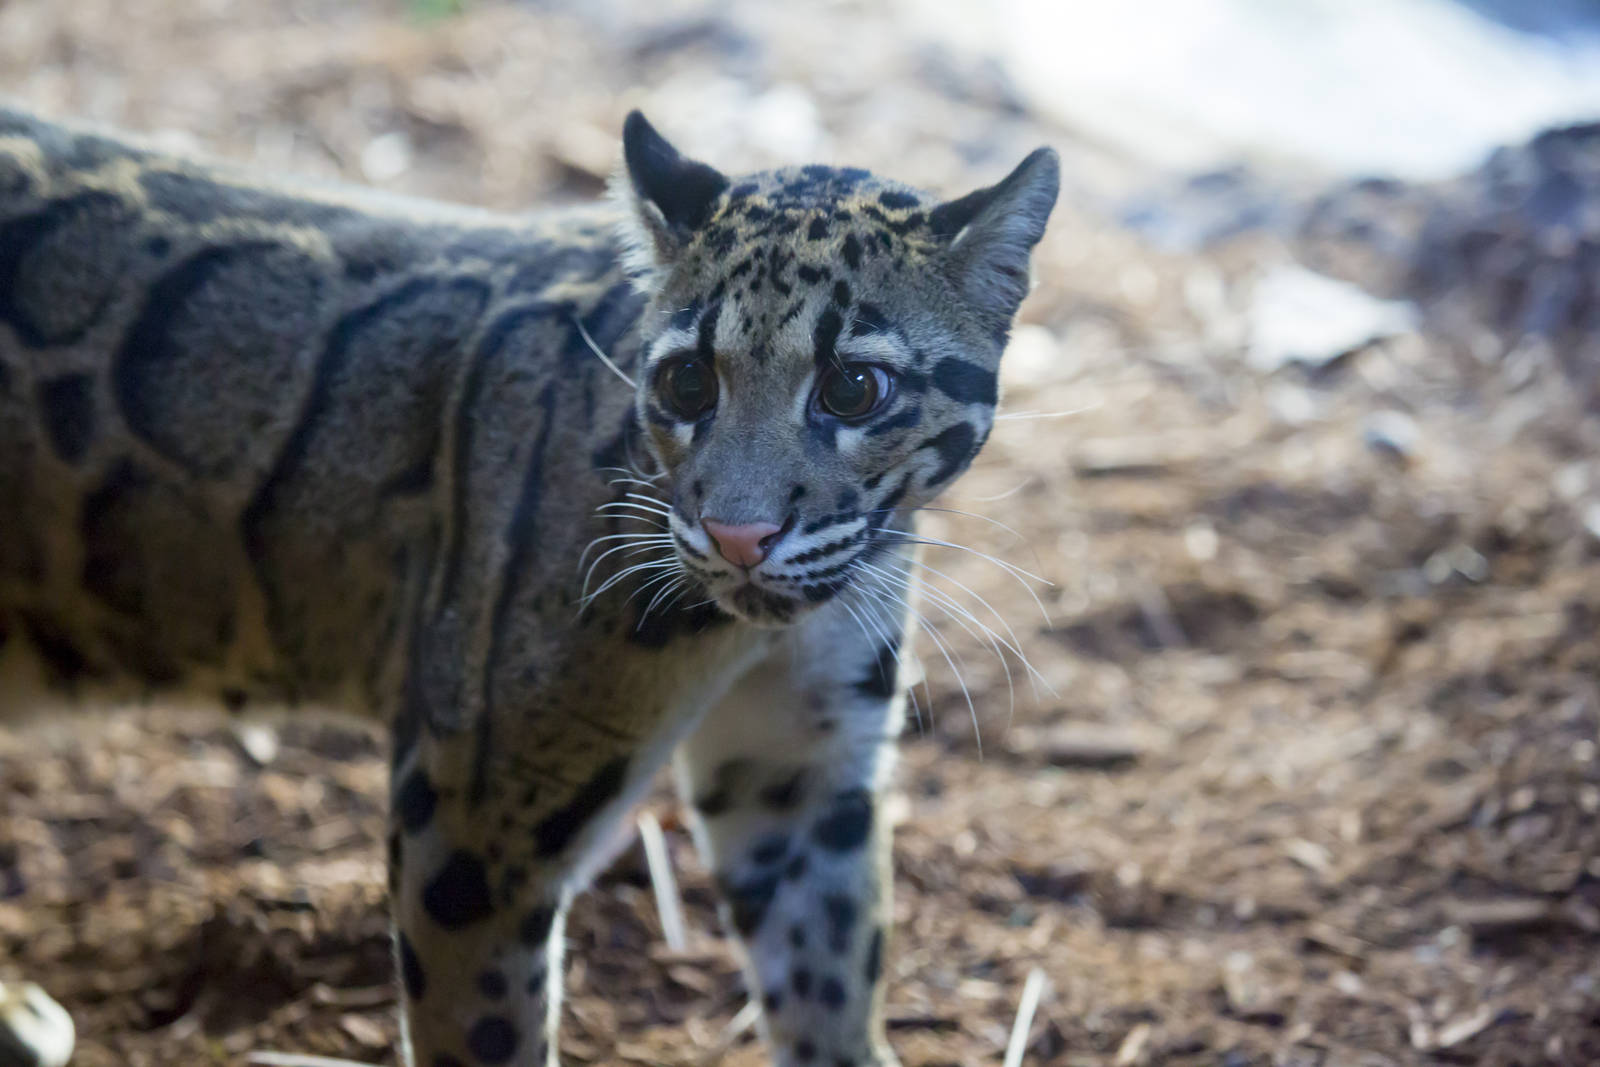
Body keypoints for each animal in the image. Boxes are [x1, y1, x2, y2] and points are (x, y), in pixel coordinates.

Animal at [0, 103, 1058, 1067]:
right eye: (687, 383)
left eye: (853, 388)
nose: (738, 534)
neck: (751, 630)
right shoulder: (472, 826)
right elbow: (485, 1032)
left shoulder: (806, 773)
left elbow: (829, 983)